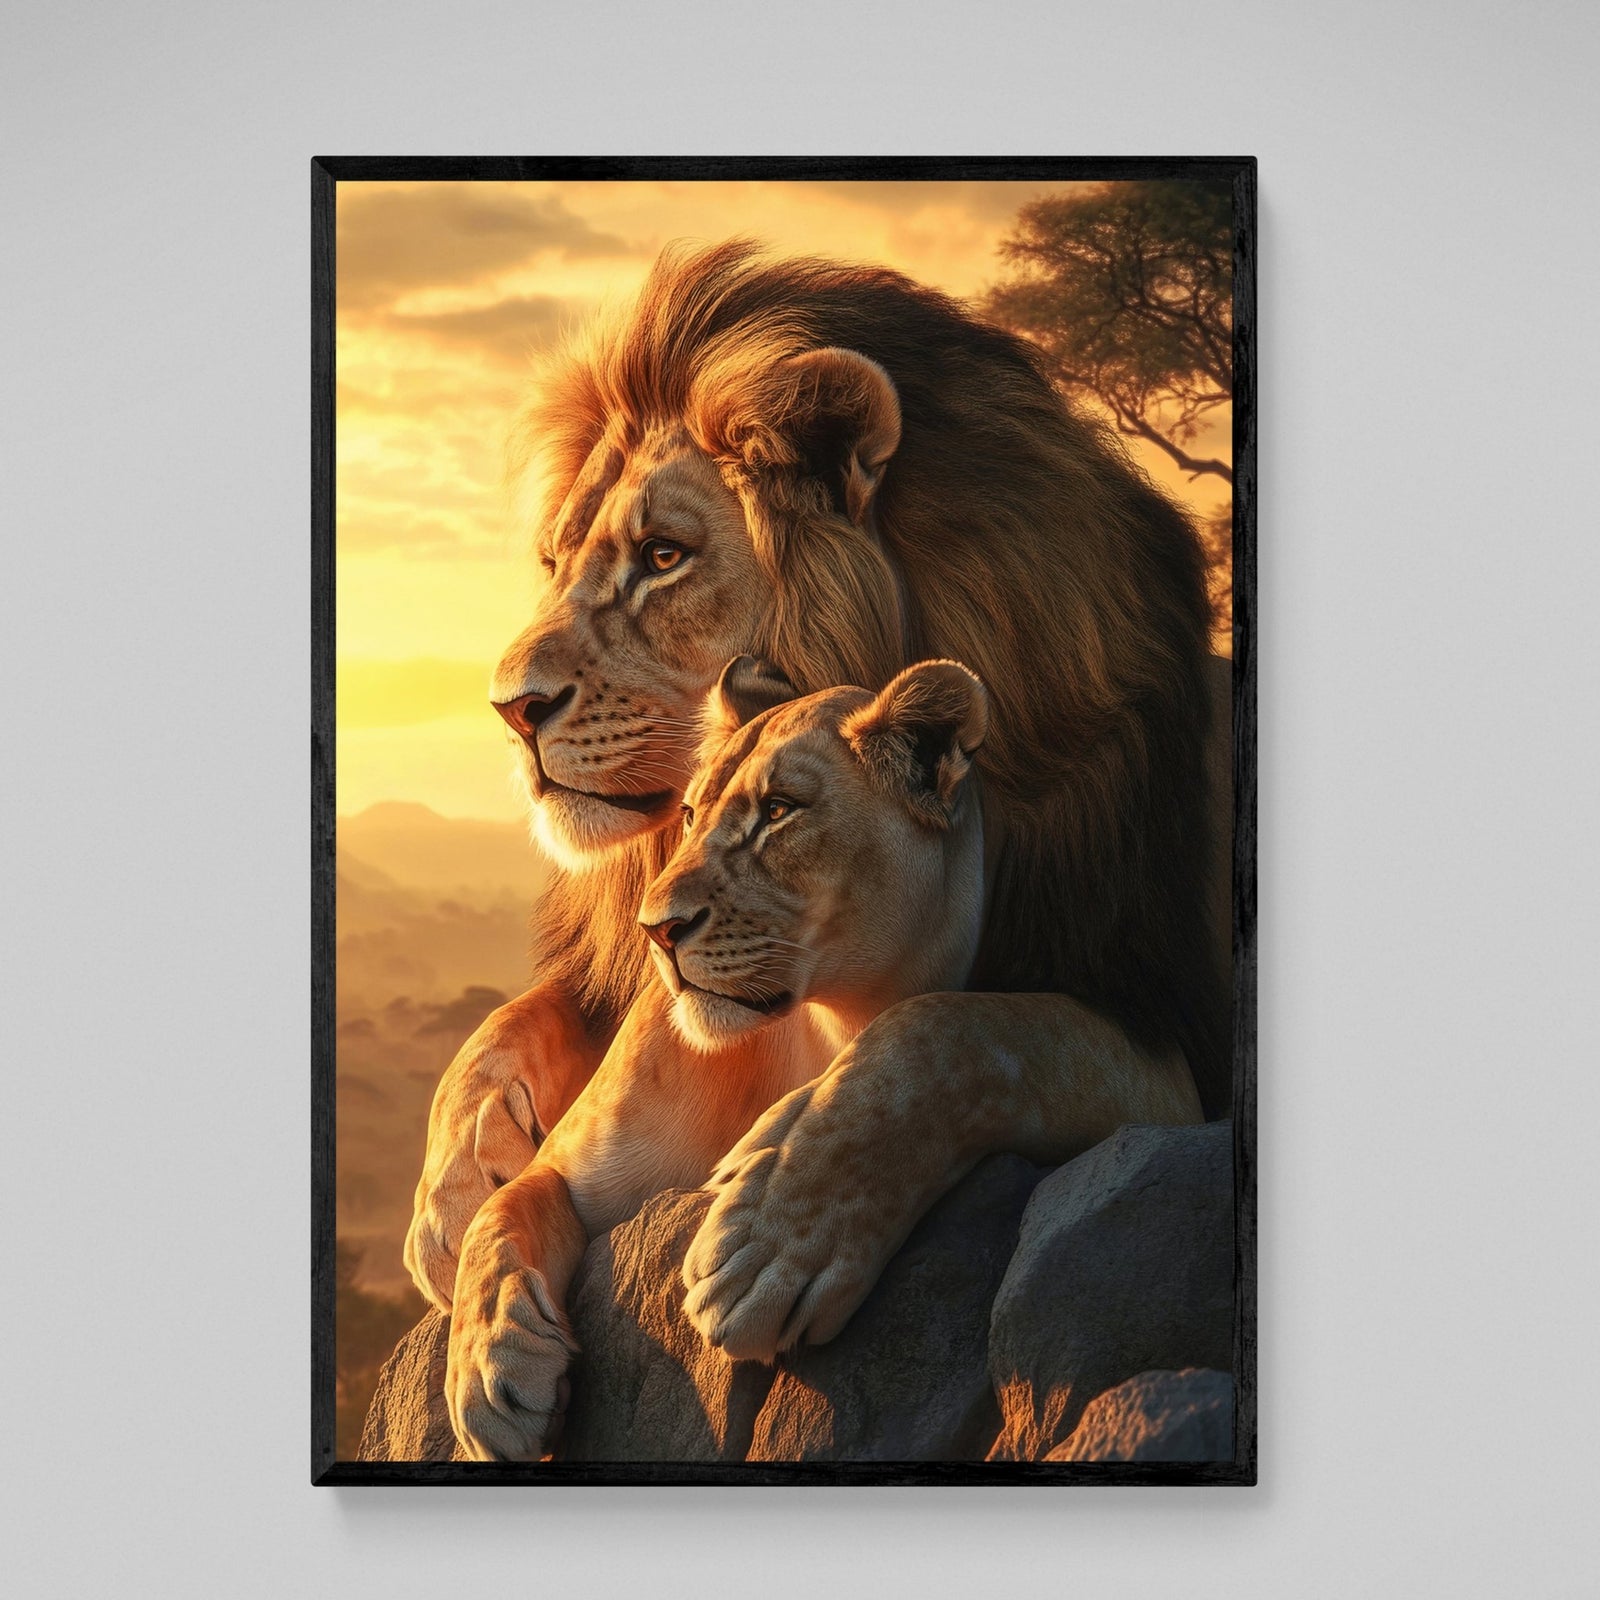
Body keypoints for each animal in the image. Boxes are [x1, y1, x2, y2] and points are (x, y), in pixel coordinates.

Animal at [404, 240, 1232, 1366]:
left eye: (663, 556)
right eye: (554, 562)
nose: (508, 708)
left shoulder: (1158, 1019)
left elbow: (957, 1033)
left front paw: (781, 1228)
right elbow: (514, 1023)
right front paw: (449, 1203)